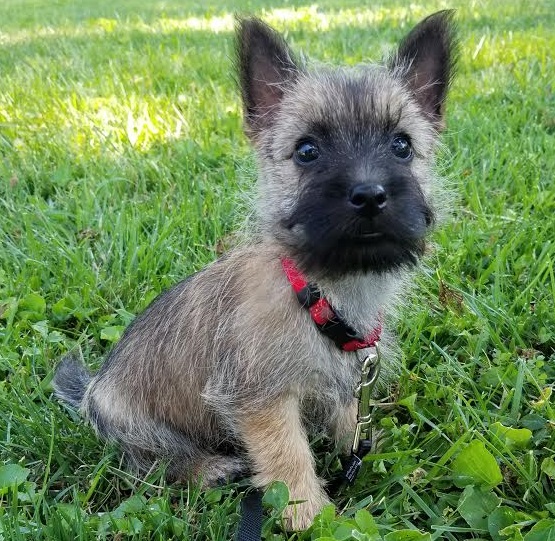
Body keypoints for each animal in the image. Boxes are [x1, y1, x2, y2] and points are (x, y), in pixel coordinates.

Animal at [54, 10, 458, 528]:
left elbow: (350, 421)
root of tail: (90, 391)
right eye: (307, 151)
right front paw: (309, 515)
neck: (320, 293)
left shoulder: (347, 383)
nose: (370, 194)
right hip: (134, 425)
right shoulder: (260, 400)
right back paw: (209, 468)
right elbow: (288, 456)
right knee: (154, 462)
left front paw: (369, 456)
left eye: (401, 146)